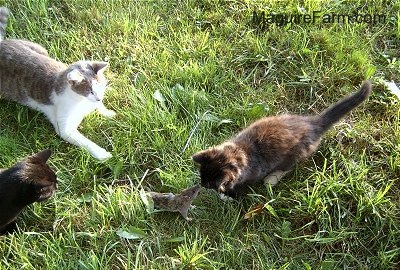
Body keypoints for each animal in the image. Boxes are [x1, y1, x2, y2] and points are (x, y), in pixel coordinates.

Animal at [0, 7, 115, 160]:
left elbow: (101, 107)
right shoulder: (65, 128)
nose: (99, 97)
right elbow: (86, 142)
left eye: (100, 86)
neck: (81, 102)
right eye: (89, 90)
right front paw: (102, 153)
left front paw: (108, 112)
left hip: (40, 48)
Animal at [194, 80, 372, 196]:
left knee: (289, 166)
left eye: (209, 184)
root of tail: (314, 123)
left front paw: (228, 194)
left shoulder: (252, 175)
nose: (201, 185)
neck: (239, 151)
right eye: (201, 176)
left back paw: (272, 179)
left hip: (298, 153)